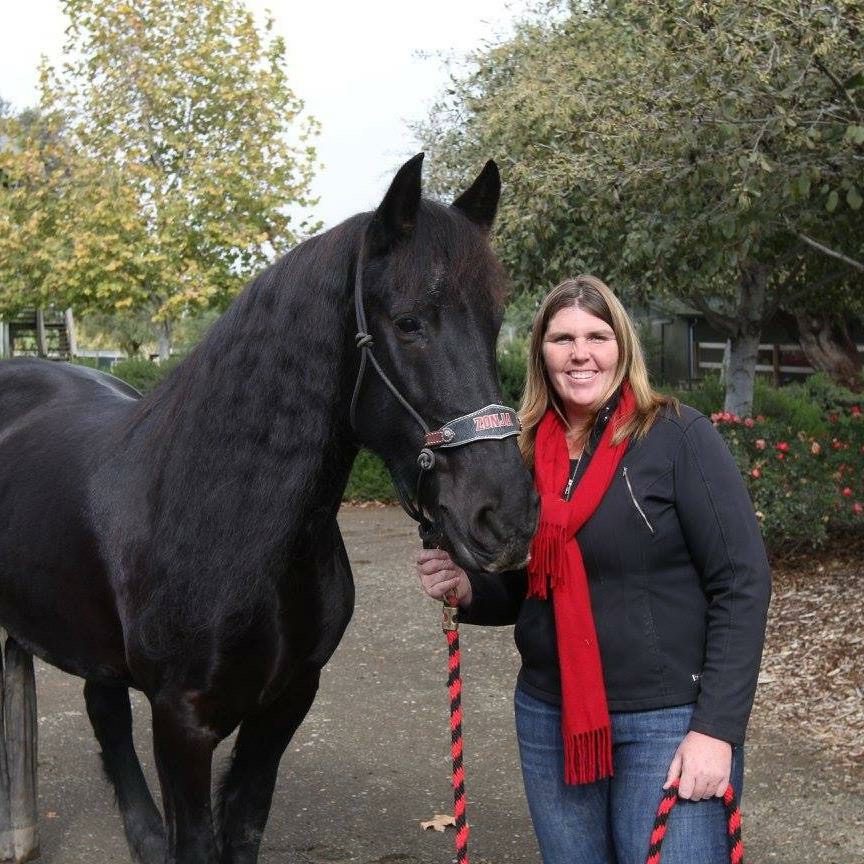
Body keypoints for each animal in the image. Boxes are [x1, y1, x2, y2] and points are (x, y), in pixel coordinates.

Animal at [0, 154, 538, 864]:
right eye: (408, 322)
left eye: (496, 320)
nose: (506, 516)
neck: (229, 518)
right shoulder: (181, 721)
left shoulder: (286, 703)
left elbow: (244, 829)